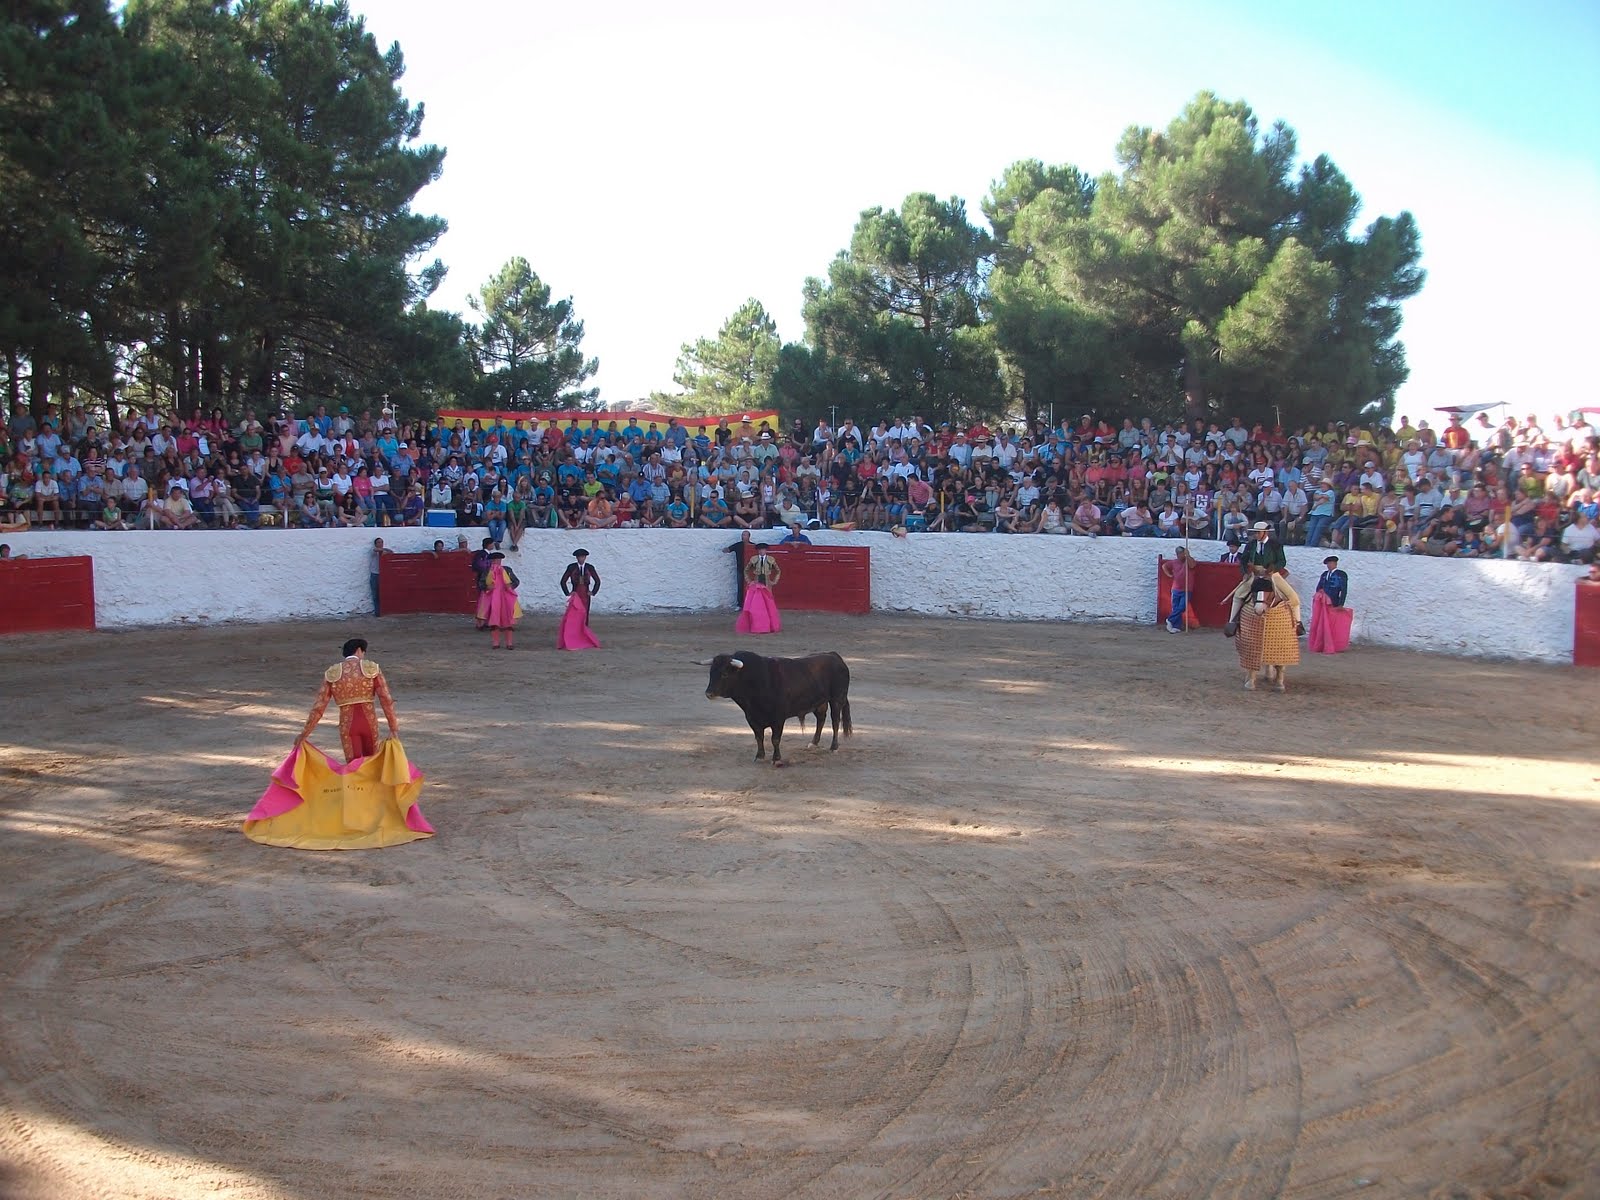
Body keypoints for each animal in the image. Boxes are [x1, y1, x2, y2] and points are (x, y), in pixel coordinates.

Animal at [700, 652, 851, 764]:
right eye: (711, 673)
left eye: (724, 674)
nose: (709, 693)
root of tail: (834, 656)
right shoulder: (751, 718)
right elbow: (759, 737)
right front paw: (759, 756)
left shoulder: (778, 719)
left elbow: (775, 739)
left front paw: (776, 759)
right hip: (820, 702)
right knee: (821, 719)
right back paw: (813, 743)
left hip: (837, 699)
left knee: (835, 722)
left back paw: (834, 747)